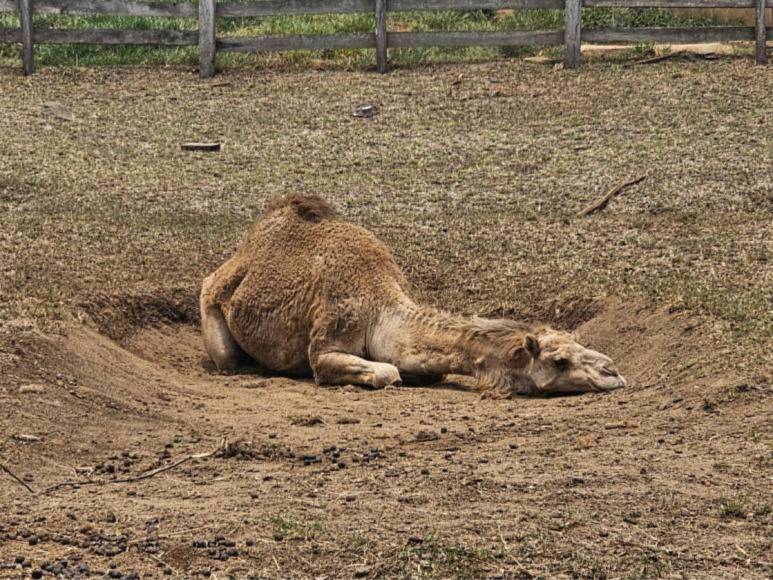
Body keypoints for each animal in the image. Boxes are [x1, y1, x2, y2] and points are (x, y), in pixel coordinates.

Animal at [198, 197, 620, 396]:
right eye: (559, 361)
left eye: (579, 342)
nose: (613, 372)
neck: (381, 309)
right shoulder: (326, 346)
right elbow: (387, 372)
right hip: (214, 304)